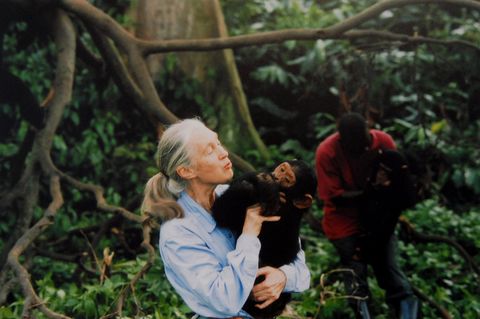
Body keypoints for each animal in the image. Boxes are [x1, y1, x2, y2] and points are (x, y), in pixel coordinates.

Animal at [212, 161, 316, 318]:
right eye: (282, 169)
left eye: (287, 179)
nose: (275, 176)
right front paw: (265, 180)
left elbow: (221, 213)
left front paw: (265, 183)